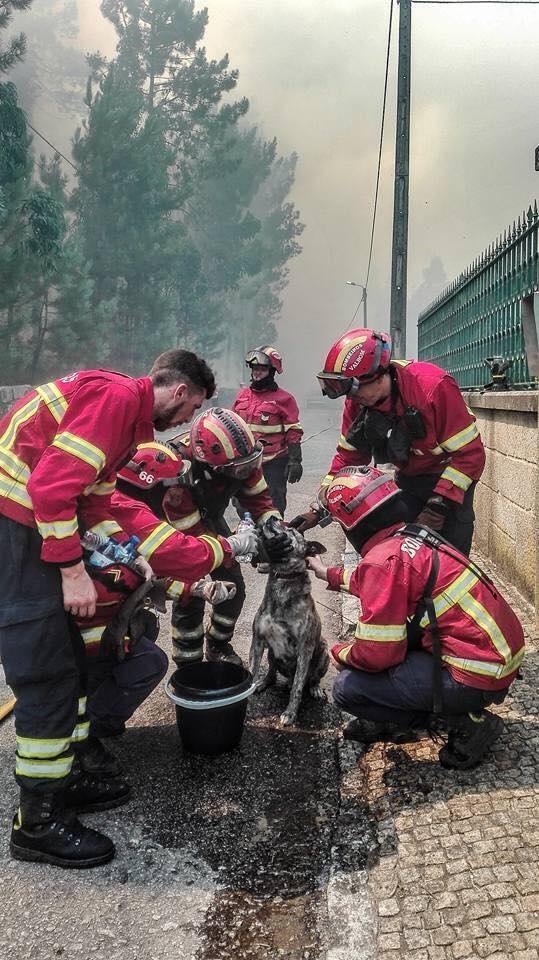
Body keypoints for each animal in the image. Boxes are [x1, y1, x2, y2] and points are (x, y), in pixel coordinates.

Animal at [251, 520, 332, 724]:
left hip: (323, 652)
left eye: (292, 531)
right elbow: (252, 670)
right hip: (271, 653)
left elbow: (297, 687)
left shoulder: (304, 649)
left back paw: (315, 688)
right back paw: (263, 683)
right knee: (272, 673)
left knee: (309, 679)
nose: (271, 517)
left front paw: (290, 713)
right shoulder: (258, 640)